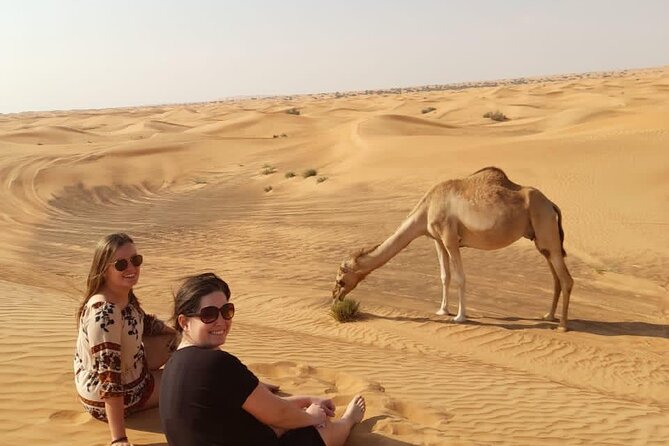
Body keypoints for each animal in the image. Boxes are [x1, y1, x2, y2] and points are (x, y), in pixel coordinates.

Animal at [332, 167, 574, 331]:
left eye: (340, 278)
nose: (334, 297)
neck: (426, 209)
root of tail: (551, 204)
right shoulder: (437, 240)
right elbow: (444, 275)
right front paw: (442, 310)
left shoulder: (449, 237)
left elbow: (459, 277)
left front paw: (460, 317)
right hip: (541, 239)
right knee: (555, 276)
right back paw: (548, 316)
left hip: (546, 227)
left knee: (566, 278)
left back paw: (562, 325)